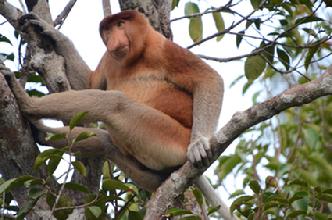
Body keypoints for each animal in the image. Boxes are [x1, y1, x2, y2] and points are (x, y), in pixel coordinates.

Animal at [7, 9, 223, 172]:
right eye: (107, 30)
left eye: (120, 24)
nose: (113, 40)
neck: (134, 57)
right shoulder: (108, 58)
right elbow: (89, 84)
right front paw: (52, 32)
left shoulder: (161, 48)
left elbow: (208, 78)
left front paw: (198, 145)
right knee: (105, 142)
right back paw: (43, 134)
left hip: (171, 138)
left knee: (115, 103)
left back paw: (28, 103)